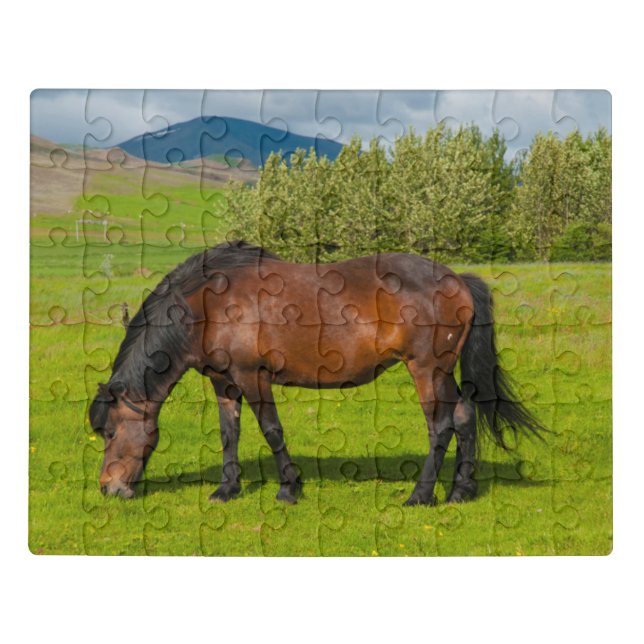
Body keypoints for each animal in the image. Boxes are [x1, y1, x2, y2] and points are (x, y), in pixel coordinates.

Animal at [89, 240, 545, 505]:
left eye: (109, 432)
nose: (109, 488)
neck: (210, 301)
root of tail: (456, 279)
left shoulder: (253, 376)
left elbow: (271, 430)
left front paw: (289, 488)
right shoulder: (224, 383)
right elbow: (228, 434)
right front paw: (227, 488)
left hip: (427, 370)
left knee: (442, 426)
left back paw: (421, 495)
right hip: (444, 371)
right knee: (465, 417)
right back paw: (461, 491)